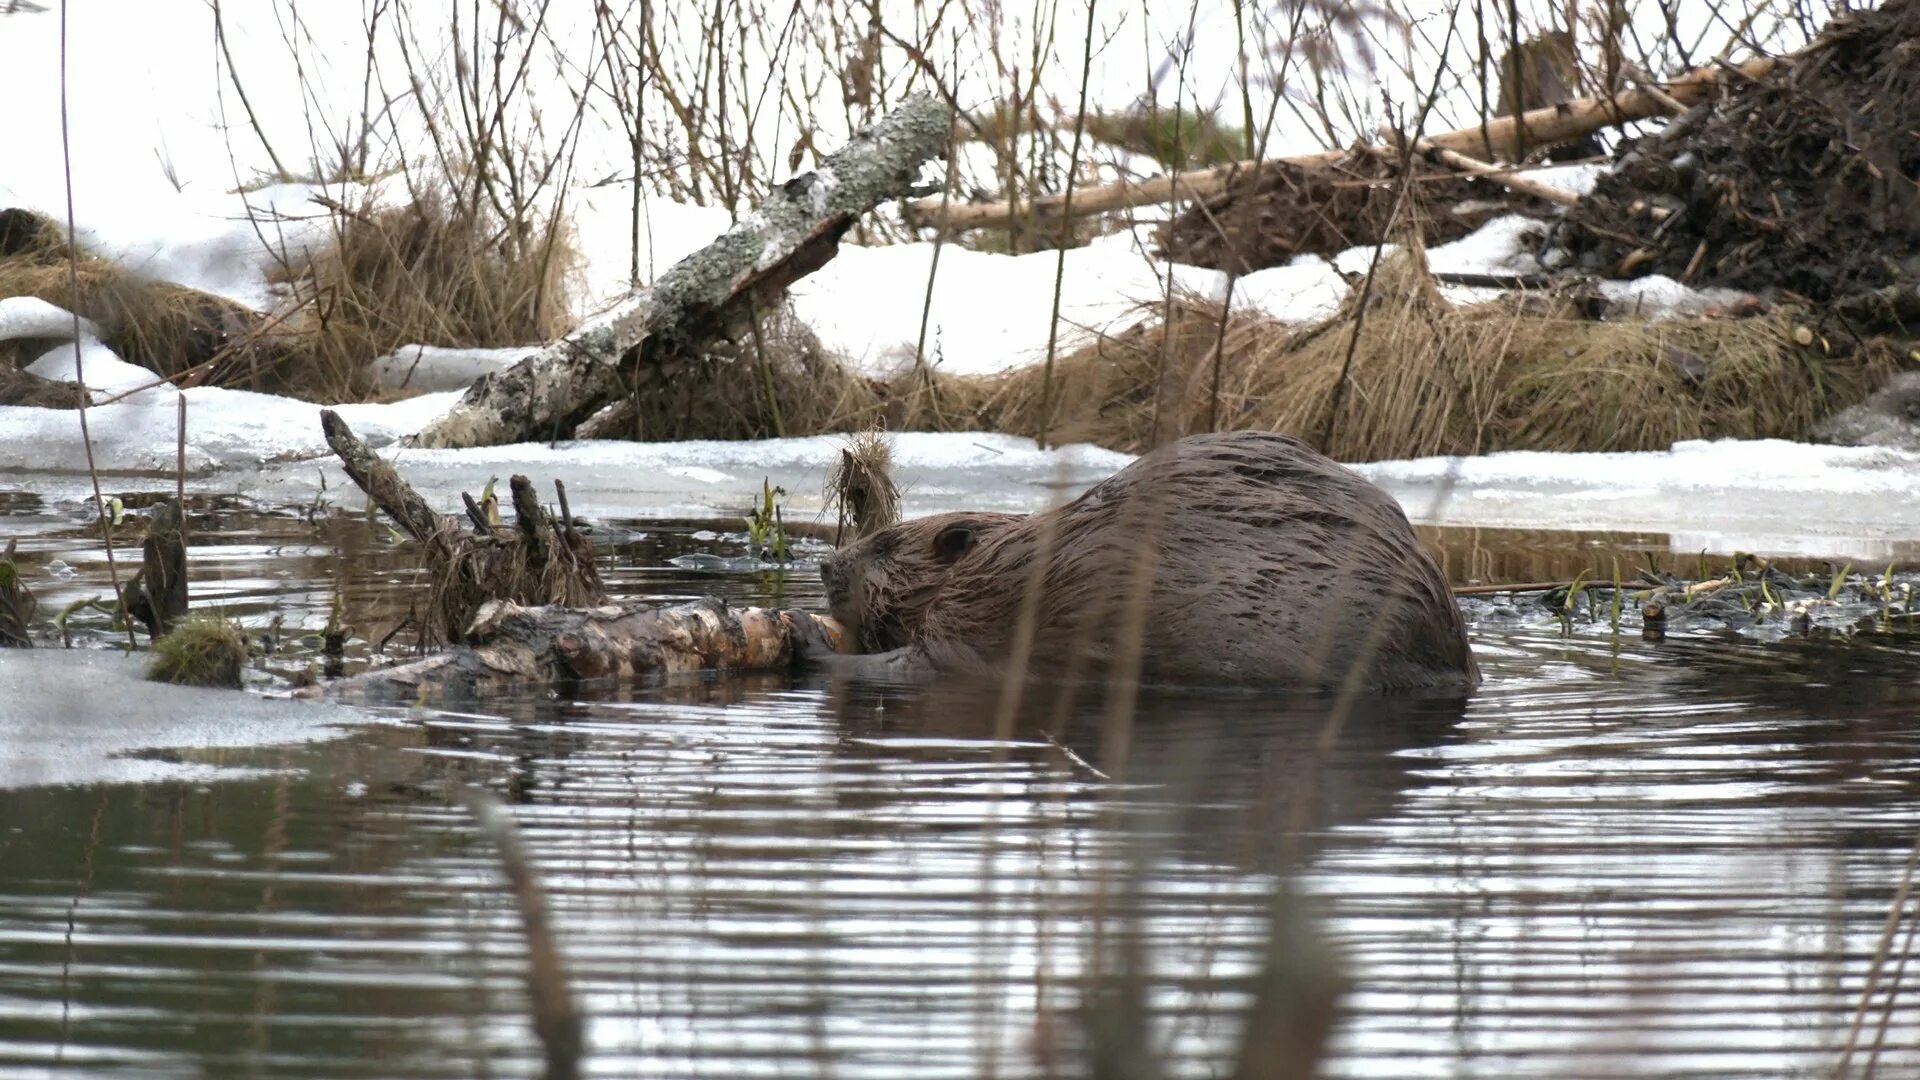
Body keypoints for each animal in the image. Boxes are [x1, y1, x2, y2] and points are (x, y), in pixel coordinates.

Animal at [787, 428, 1474, 687]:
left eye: (884, 544)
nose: (826, 567)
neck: (1015, 557)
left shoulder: (978, 621)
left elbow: (910, 666)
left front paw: (800, 631)